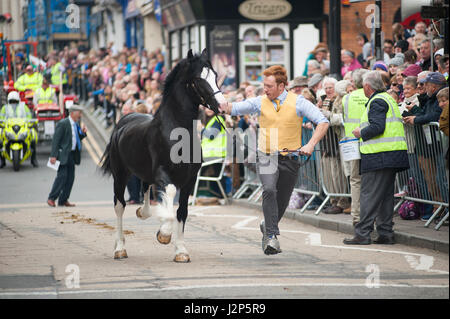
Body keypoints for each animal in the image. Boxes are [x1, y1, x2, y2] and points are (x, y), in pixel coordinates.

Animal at [102, 49, 229, 262]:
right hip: (120, 175)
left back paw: (142, 212)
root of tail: (123, 121)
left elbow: (182, 212)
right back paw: (119, 249)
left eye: (215, 75)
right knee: (119, 206)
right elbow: (169, 196)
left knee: (145, 188)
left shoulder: (189, 179)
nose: (222, 105)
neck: (178, 133)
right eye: (198, 79)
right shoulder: (163, 173)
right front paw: (164, 234)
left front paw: (181, 251)